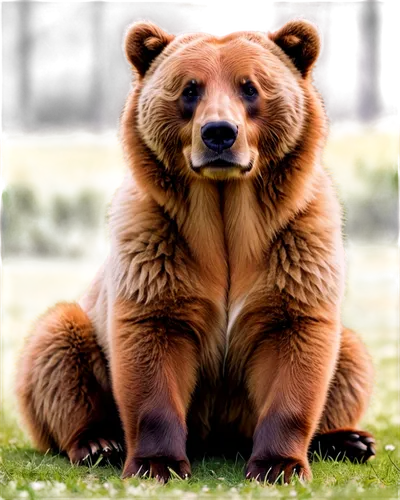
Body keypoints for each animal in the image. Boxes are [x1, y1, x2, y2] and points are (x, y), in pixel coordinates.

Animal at [14, 17, 376, 482]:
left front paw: (279, 465)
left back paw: (349, 440)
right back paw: (99, 442)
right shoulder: (157, 248)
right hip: (80, 326)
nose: (219, 133)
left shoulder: (296, 247)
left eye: (250, 87)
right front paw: (156, 463)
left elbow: (296, 346)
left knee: (350, 360)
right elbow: (152, 348)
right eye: (189, 89)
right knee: (58, 351)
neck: (225, 216)